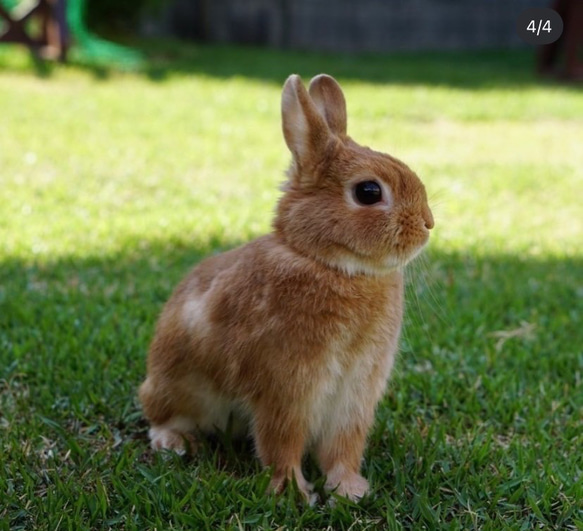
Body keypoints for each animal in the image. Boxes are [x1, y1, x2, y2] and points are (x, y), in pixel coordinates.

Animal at [140, 74, 434, 502]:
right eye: (368, 192)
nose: (428, 224)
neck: (327, 263)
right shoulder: (286, 386)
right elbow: (282, 441)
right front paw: (296, 493)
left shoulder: (356, 393)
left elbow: (343, 446)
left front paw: (350, 490)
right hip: (172, 385)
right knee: (159, 416)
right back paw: (174, 443)